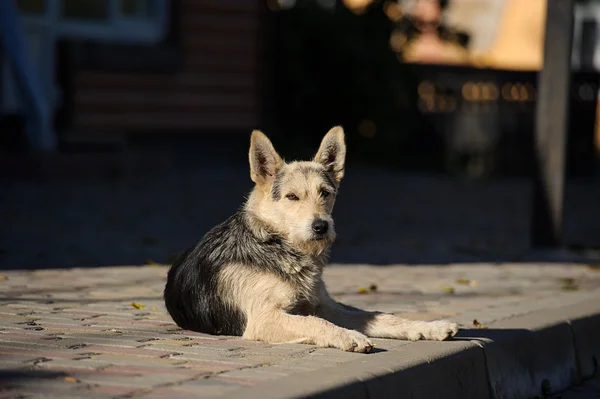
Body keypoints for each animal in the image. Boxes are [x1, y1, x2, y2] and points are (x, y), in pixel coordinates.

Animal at [164, 127, 460, 354]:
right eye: (292, 197)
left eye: (325, 193)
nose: (321, 226)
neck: (277, 245)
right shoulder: (263, 318)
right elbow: (313, 323)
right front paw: (348, 336)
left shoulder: (324, 306)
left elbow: (379, 316)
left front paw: (427, 327)